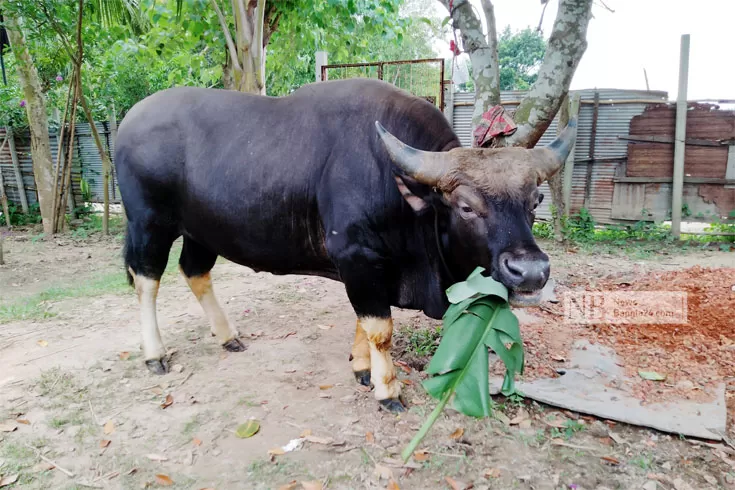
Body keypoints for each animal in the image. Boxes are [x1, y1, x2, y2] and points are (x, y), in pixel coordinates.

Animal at [115, 78, 576, 412]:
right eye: (465, 206)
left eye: (535, 200)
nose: (531, 271)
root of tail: (128, 122)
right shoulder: (357, 258)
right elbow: (380, 327)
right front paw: (387, 389)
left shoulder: (373, 265)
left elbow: (362, 321)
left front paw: (362, 368)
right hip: (149, 224)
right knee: (146, 280)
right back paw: (154, 354)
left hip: (201, 231)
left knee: (195, 271)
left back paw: (228, 336)